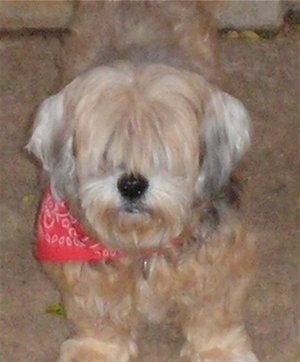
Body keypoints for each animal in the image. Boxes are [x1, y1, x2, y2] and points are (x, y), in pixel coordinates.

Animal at [27, 2, 258, 362]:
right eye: (107, 152)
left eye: (161, 153)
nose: (132, 185)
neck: (143, 246)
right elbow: (97, 312)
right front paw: (98, 349)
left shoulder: (220, 254)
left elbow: (213, 309)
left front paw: (217, 348)